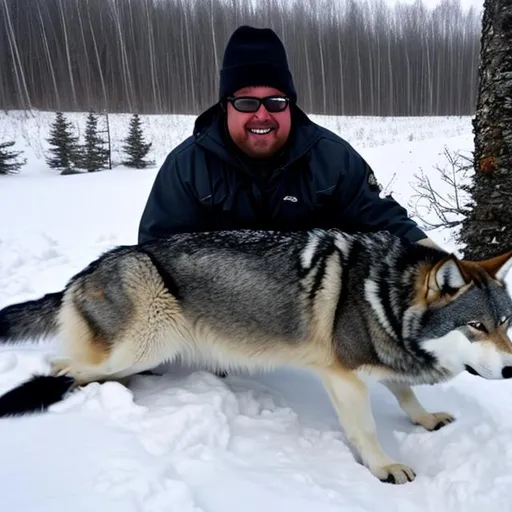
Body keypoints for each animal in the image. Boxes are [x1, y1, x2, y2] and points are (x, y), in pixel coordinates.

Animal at [1, 228, 512, 484]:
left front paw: (424, 419)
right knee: (62, 369)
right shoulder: (344, 375)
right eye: (476, 326)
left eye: (505, 322)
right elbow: (366, 429)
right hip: (149, 337)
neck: (385, 293)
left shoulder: (378, 355)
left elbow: (405, 393)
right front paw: (383, 466)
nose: (511, 369)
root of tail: (80, 275)